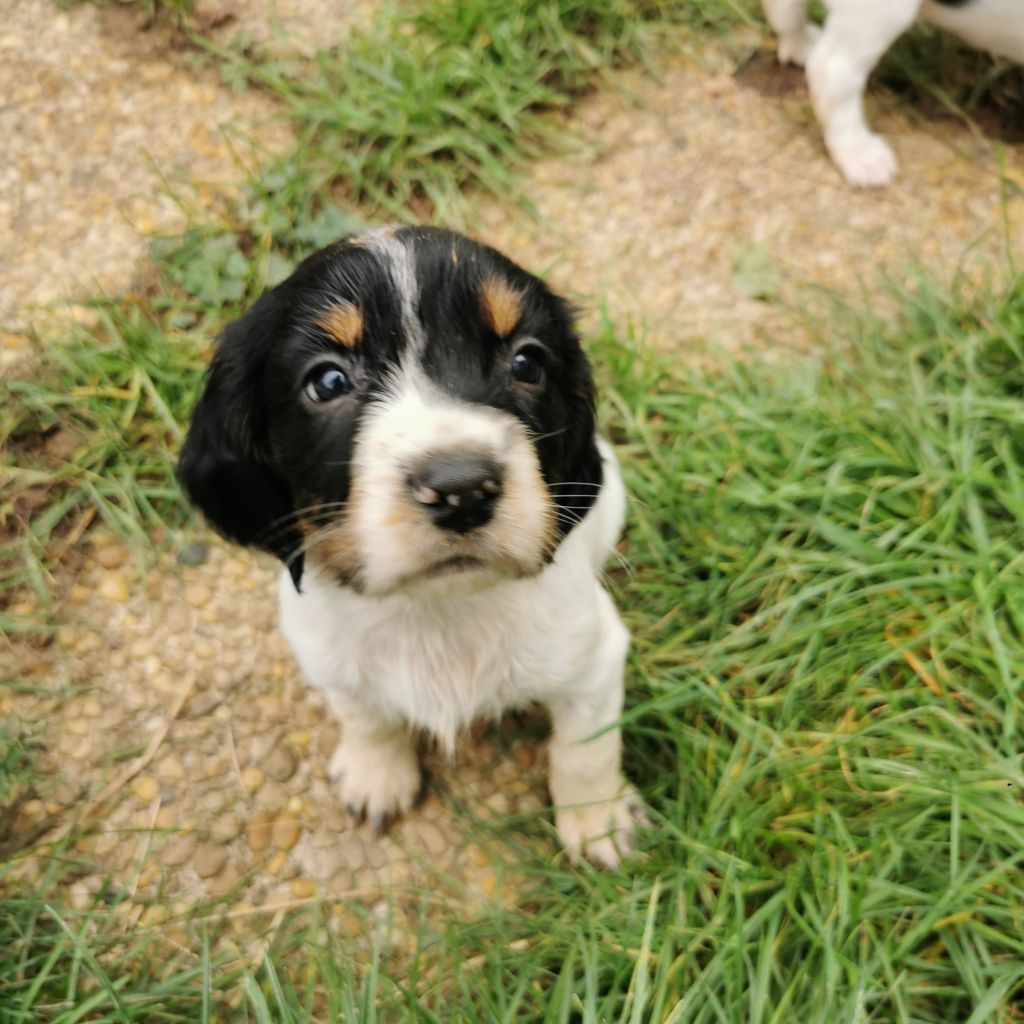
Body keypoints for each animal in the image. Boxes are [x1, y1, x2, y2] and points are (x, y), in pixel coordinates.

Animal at [176, 228, 638, 868]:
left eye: (527, 361)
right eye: (328, 381)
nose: (462, 489)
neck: (435, 608)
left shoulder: (592, 661)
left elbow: (586, 750)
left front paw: (596, 824)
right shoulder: (328, 657)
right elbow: (367, 716)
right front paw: (376, 776)